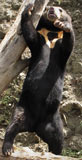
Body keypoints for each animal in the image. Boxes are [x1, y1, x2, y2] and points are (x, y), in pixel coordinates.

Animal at [2, 4, 75, 156]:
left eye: (60, 9)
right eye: (48, 8)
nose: (52, 9)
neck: (52, 33)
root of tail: (34, 127)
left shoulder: (61, 50)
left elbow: (68, 45)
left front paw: (64, 25)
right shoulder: (40, 39)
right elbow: (30, 35)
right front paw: (28, 9)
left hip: (55, 121)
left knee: (58, 140)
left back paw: (56, 154)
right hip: (23, 109)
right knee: (12, 126)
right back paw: (7, 149)